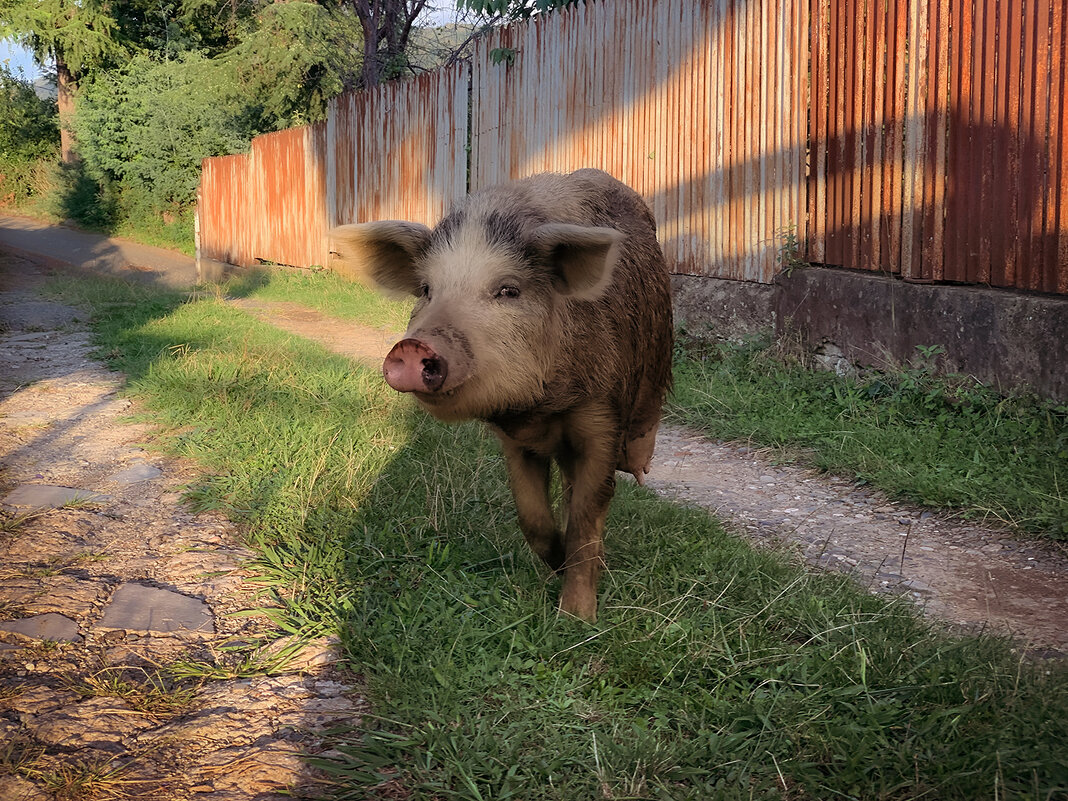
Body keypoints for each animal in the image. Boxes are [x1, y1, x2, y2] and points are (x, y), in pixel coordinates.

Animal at [328, 167, 670, 619]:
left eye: (508, 290)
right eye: (426, 289)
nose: (413, 346)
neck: (540, 409)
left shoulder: (602, 415)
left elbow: (587, 515)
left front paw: (576, 618)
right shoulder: (515, 441)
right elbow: (532, 517)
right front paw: (557, 566)